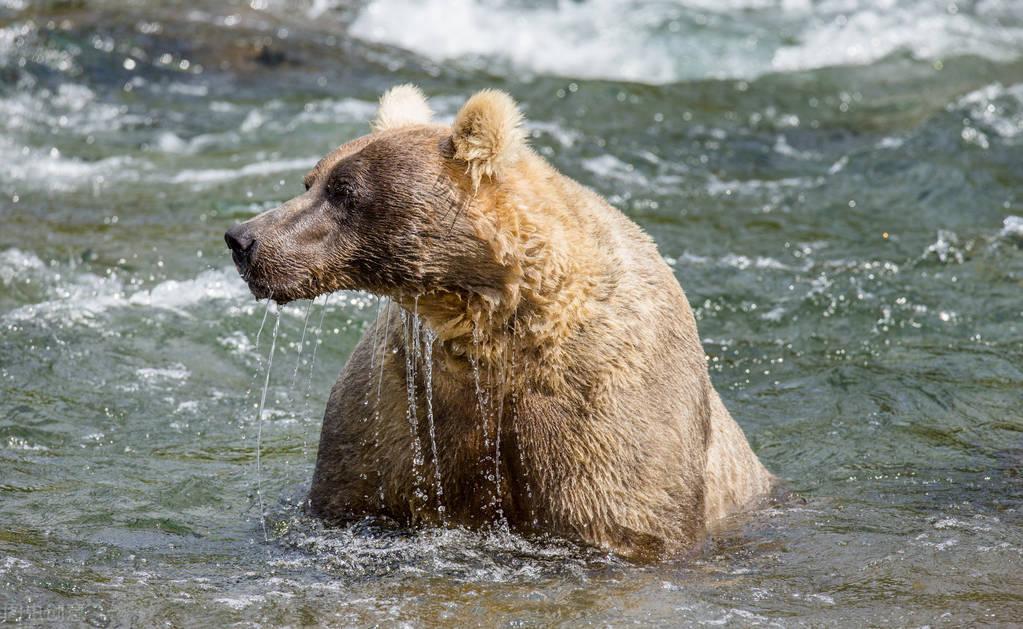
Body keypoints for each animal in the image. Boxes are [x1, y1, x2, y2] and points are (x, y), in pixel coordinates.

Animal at [221, 84, 769, 560]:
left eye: (345, 191)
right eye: (311, 181)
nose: (243, 238)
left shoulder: (603, 394)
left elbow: (618, 510)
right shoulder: (397, 393)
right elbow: (353, 485)